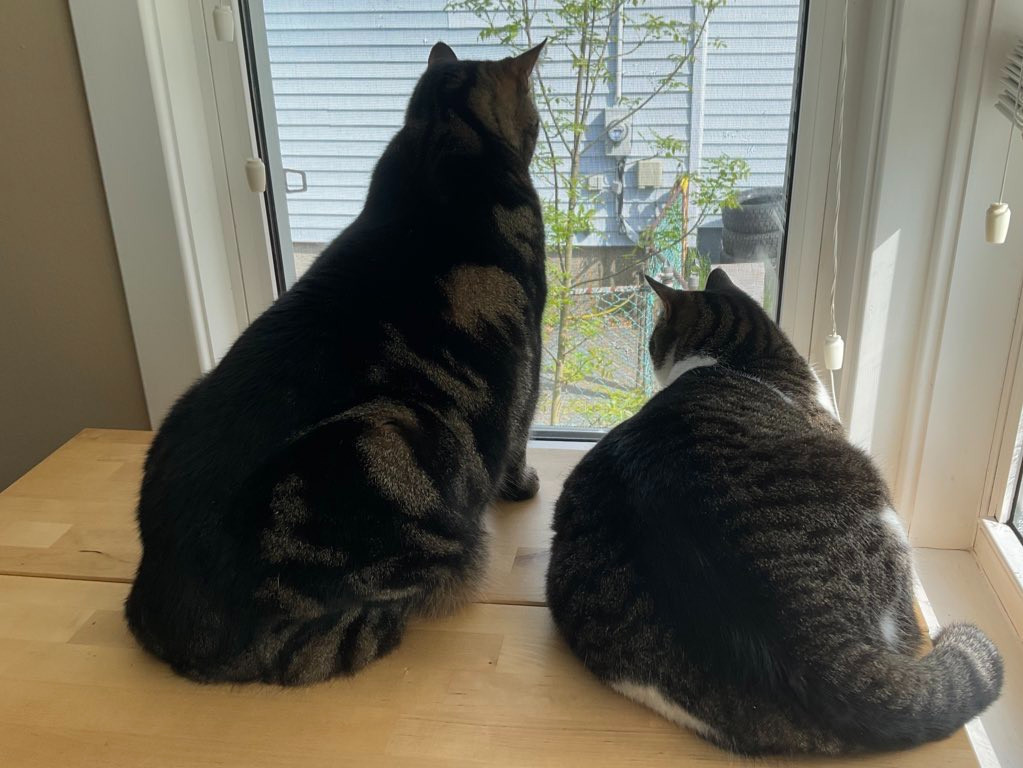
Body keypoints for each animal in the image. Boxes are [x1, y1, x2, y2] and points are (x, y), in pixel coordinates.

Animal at [125, 41, 552, 687]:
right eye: (535, 112)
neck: (440, 141)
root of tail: (164, 611)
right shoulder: (529, 356)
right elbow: (520, 436)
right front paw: (524, 487)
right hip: (389, 435)